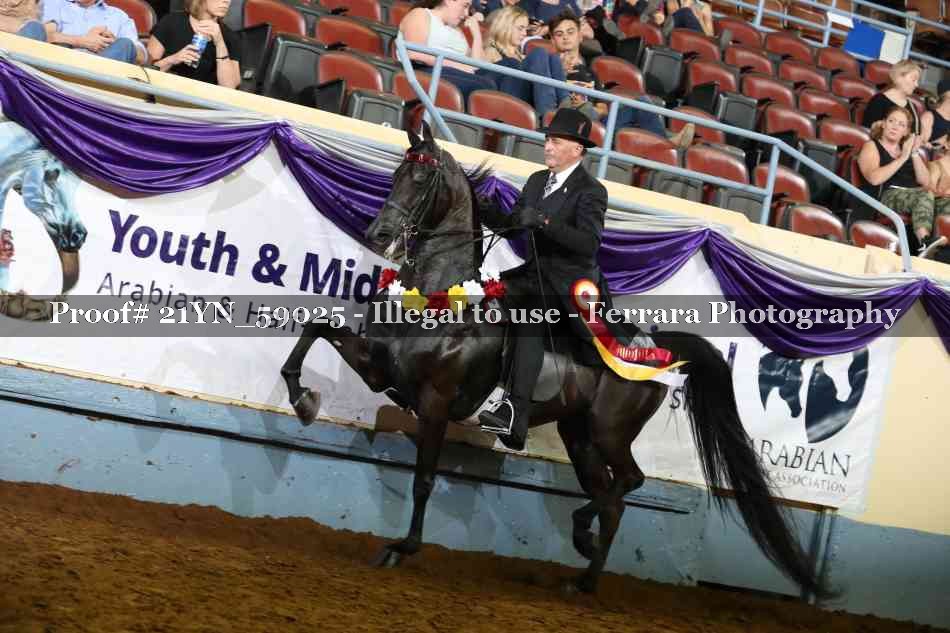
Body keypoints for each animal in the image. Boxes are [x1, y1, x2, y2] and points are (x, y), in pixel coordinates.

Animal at [280, 123, 829, 597]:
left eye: (421, 179)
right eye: (395, 173)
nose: (378, 234)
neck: (441, 296)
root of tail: (653, 345)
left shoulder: (435, 402)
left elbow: (423, 480)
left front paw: (403, 548)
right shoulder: (381, 371)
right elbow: (315, 329)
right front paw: (303, 399)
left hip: (608, 431)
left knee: (627, 484)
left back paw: (586, 562)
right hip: (578, 435)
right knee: (612, 493)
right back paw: (583, 560)